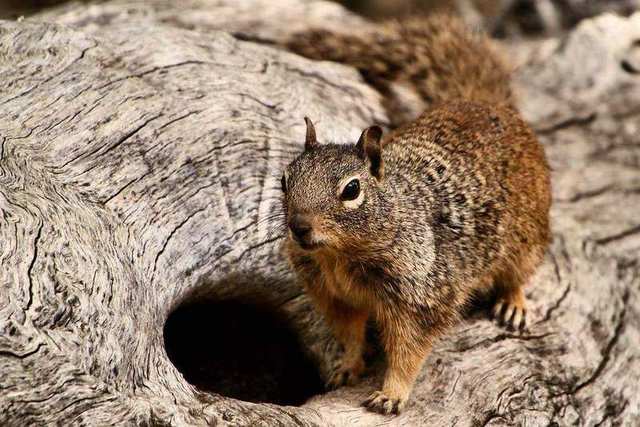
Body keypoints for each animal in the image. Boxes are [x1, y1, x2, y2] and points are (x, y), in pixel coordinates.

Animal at [279, 14, 551, 415]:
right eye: (285, 179)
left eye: (351, 190)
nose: (299, 228)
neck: (340, 258)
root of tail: (484, 103)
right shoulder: (335, 297)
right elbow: (350, 334)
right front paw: (347, 366)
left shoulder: (422, 296)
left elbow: (409, 351)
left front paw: (391, 393)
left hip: (528, 235)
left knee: (518, 273)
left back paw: (512, 304)